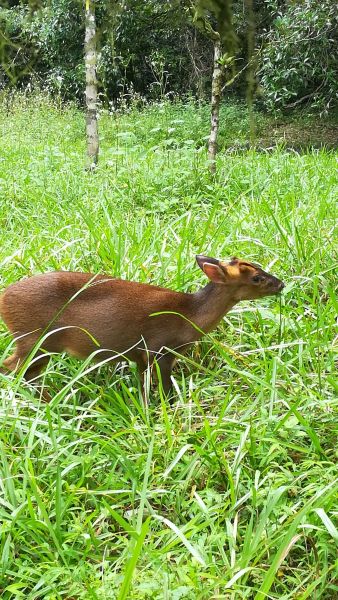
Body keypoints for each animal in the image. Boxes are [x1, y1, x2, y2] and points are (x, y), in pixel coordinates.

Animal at [0, 254, 284, 398]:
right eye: (257, 277)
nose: (281, 284)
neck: (190, 315)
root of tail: (4, 298)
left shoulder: (140, 355)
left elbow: (143, 385)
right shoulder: (160, 349)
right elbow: (165, 388)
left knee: (27, 373)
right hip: (33, 339)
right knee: (12, 368)